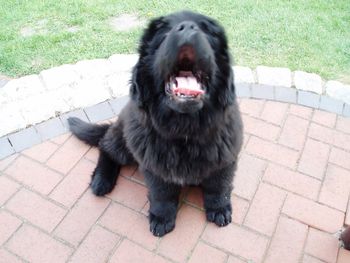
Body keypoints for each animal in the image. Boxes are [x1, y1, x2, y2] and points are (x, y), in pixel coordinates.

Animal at [68, 10, 243, 237]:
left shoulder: (225, 157)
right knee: (105, 146)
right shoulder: (153, 165)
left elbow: (219, 186)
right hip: (125, 140)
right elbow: (161, 194)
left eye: (206, 31)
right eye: (164, 34)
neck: (184, 131)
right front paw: (161, 218)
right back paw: (101, 180)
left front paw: (220, 209)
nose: (188, 27)